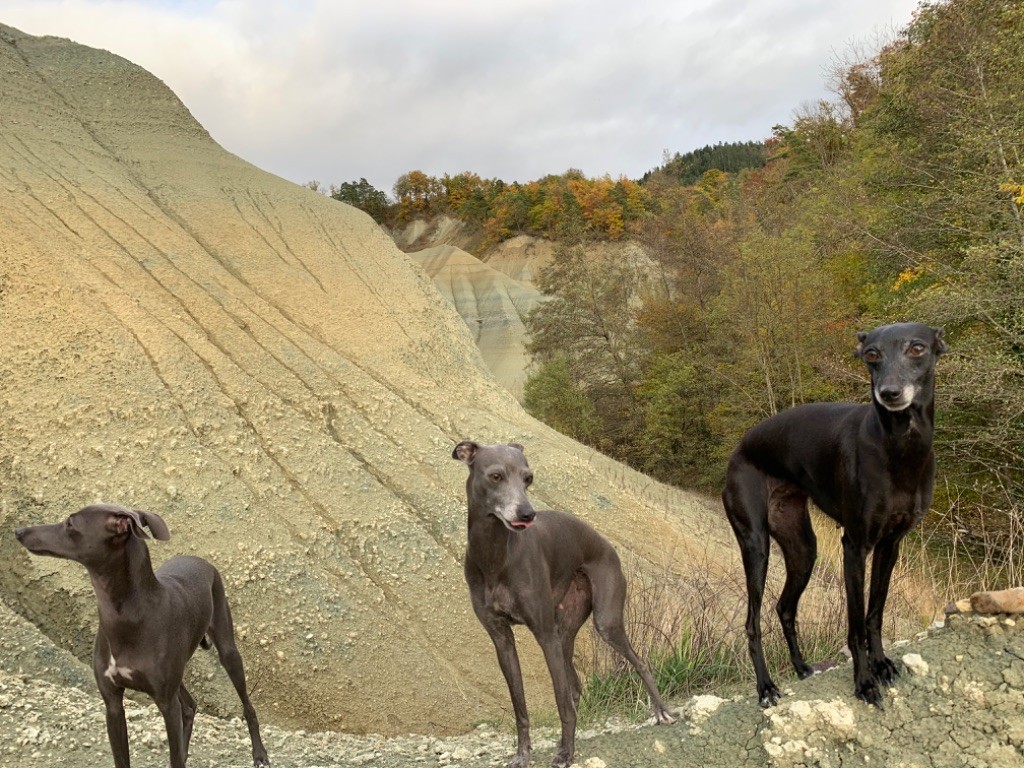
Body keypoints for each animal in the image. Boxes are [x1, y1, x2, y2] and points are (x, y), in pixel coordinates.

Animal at [724, 323, 946, 708]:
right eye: (871, 354)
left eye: (917, 348)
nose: (889, 393)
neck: (899, 446)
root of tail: (739, 449)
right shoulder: (854, 546)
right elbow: (855, 625)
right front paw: (864, 681)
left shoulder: (890, 545)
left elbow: (874, 614)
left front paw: (882, 664)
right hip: (756, 545)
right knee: (752, 622)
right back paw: (765, 687)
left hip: (803, 548)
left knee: (784, 608)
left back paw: (801, 667)